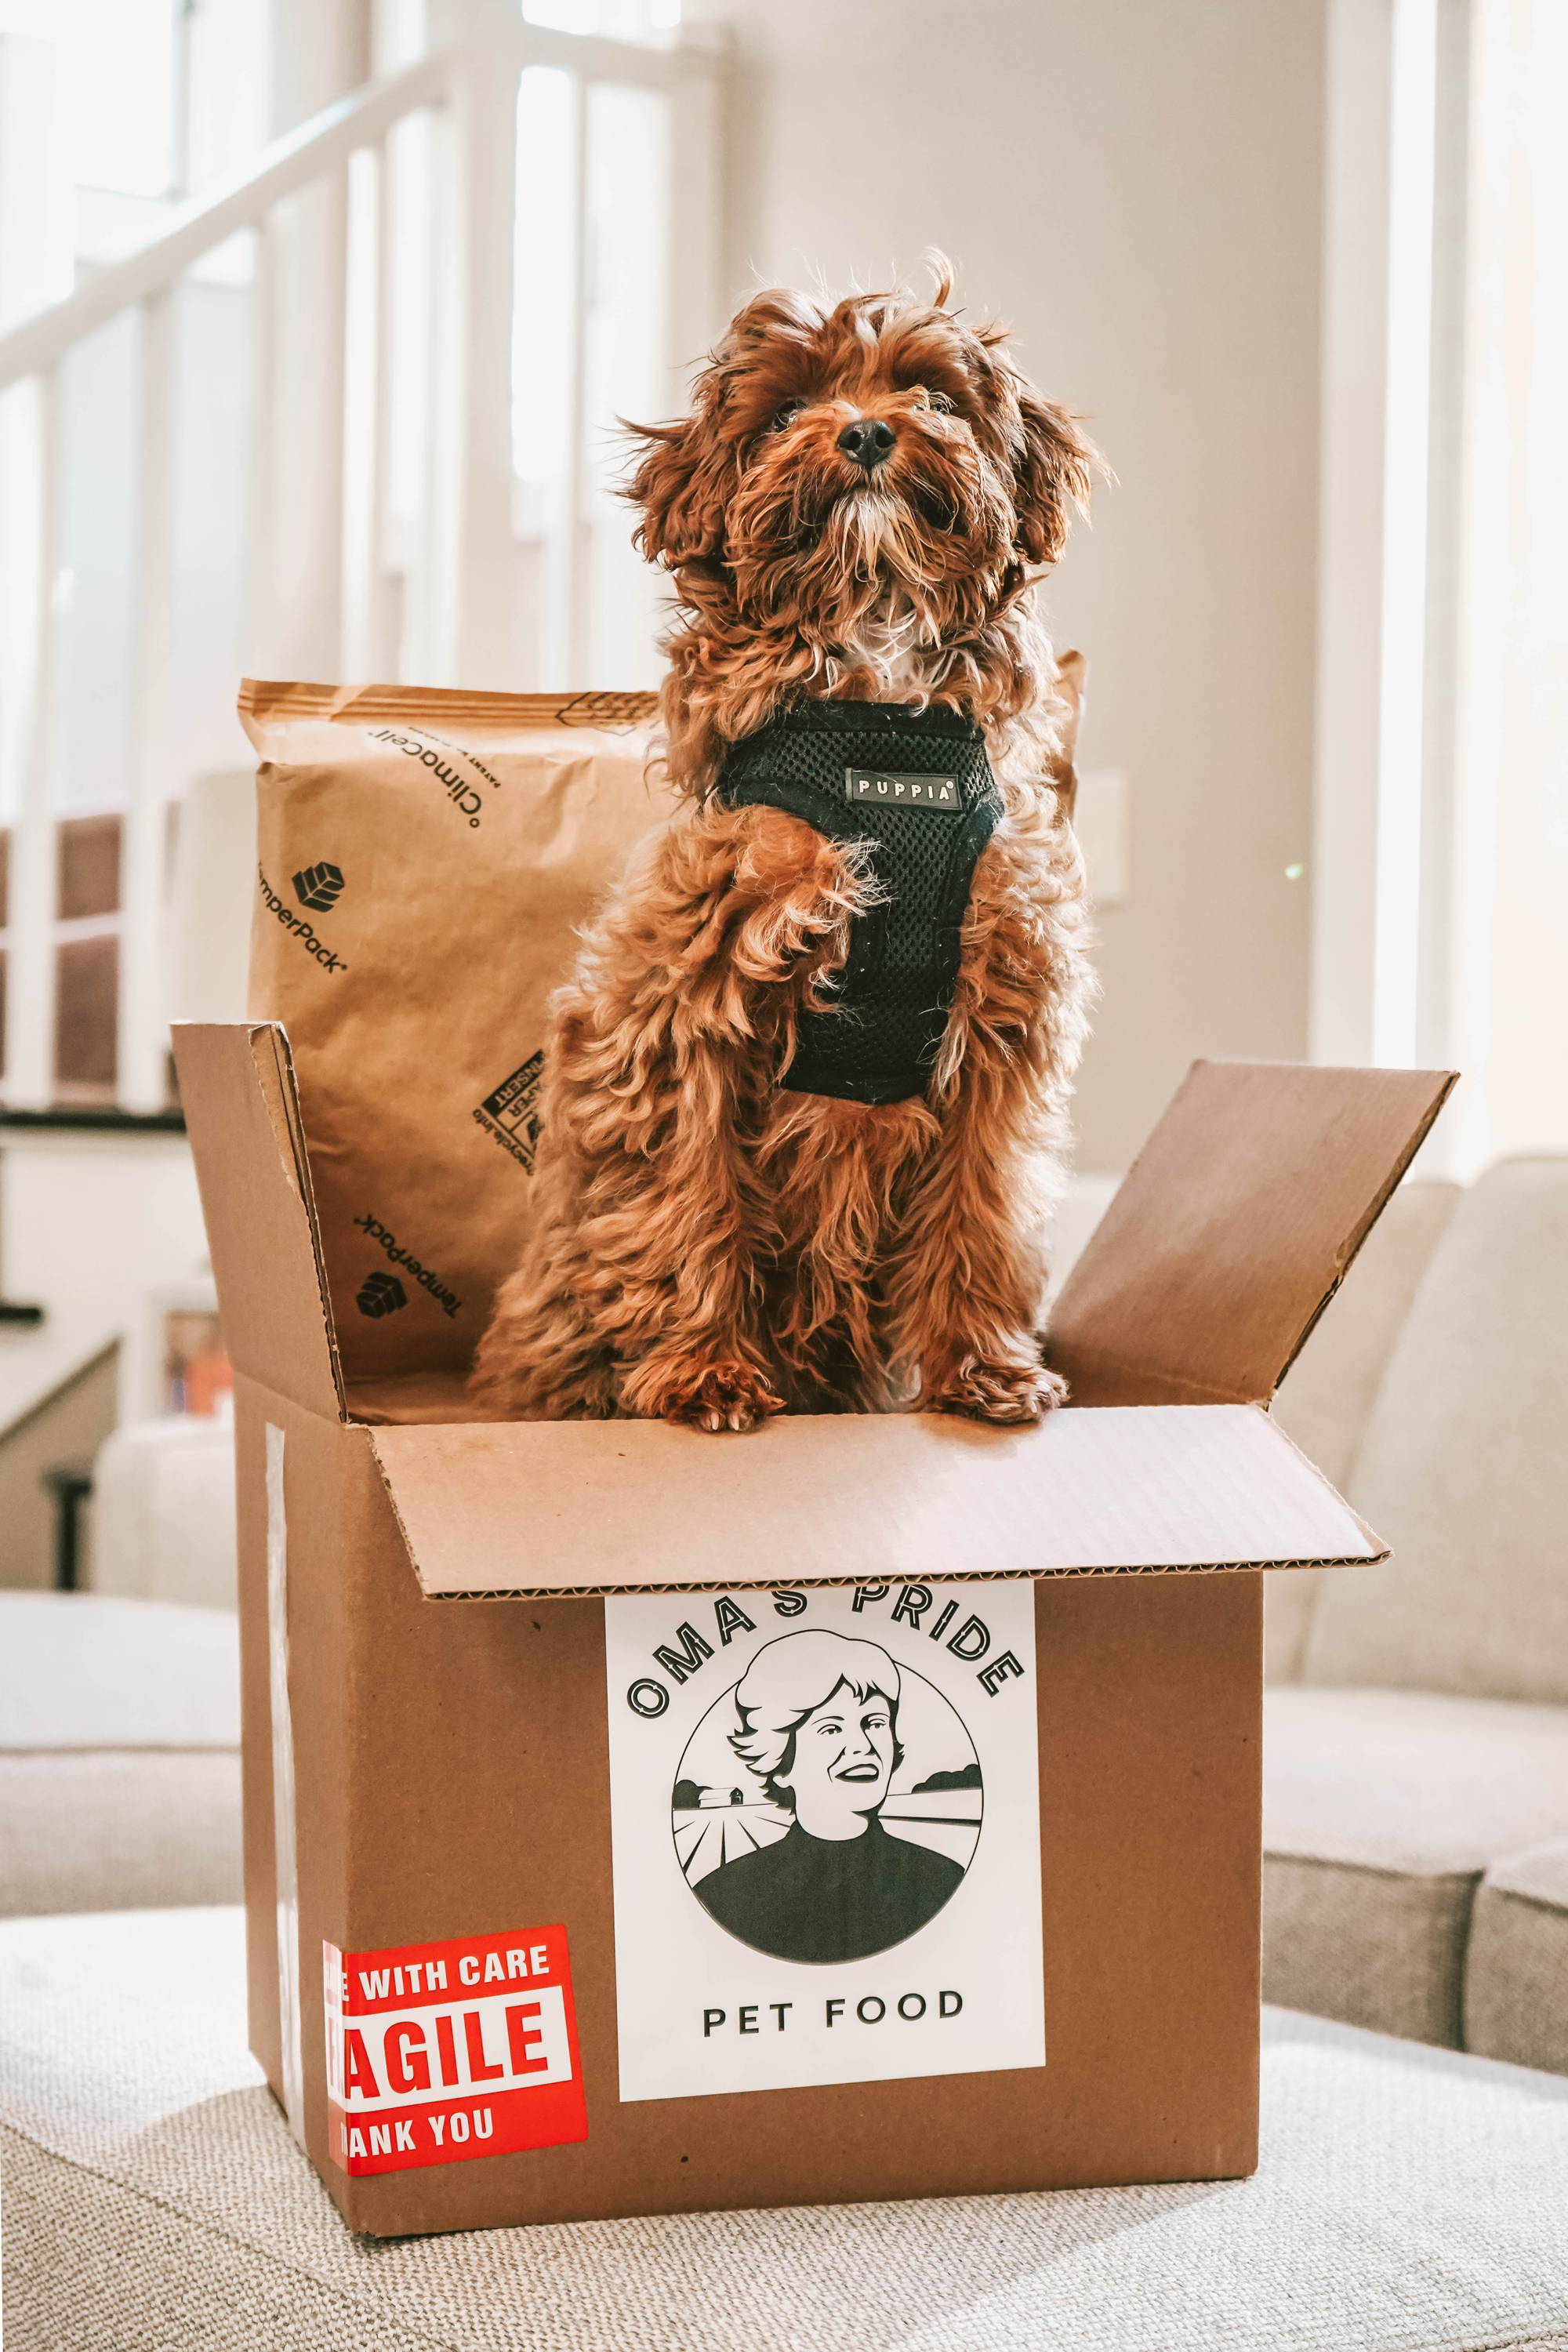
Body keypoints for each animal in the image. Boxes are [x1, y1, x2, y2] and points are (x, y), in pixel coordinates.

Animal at [472, 264, 1100, 1421]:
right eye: (786, 409)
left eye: (934, 395)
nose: (864, 433)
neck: (878, 711)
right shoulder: (687, 1003)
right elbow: (692, 1196)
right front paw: (706, 1372)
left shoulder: (1003, 1015)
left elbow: (982, 1206)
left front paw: (980, 1367)